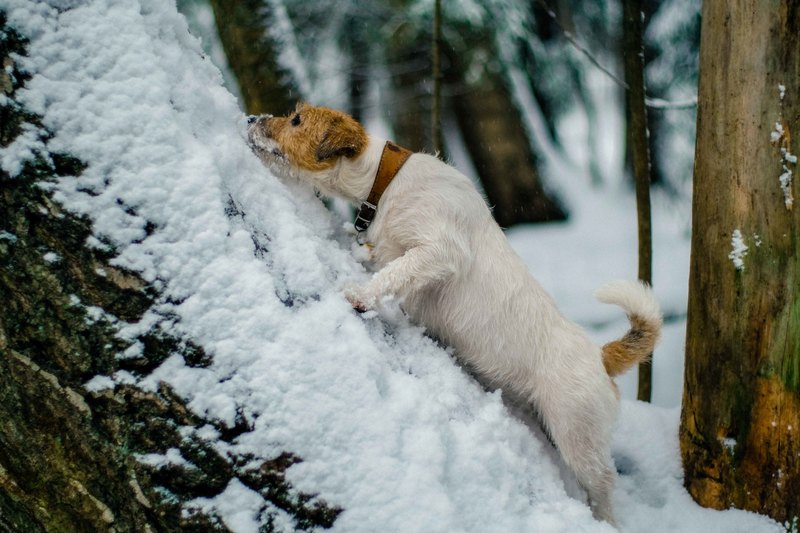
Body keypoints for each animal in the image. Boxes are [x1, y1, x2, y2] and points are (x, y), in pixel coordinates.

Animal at [250, 103, 664, 524]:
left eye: (297, 120)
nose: (252, 119)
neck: (386, 179)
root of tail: (599, 357)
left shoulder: (439, 251)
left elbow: (395, 273)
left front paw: (361, 296)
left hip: (580, 438)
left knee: (604, 489)